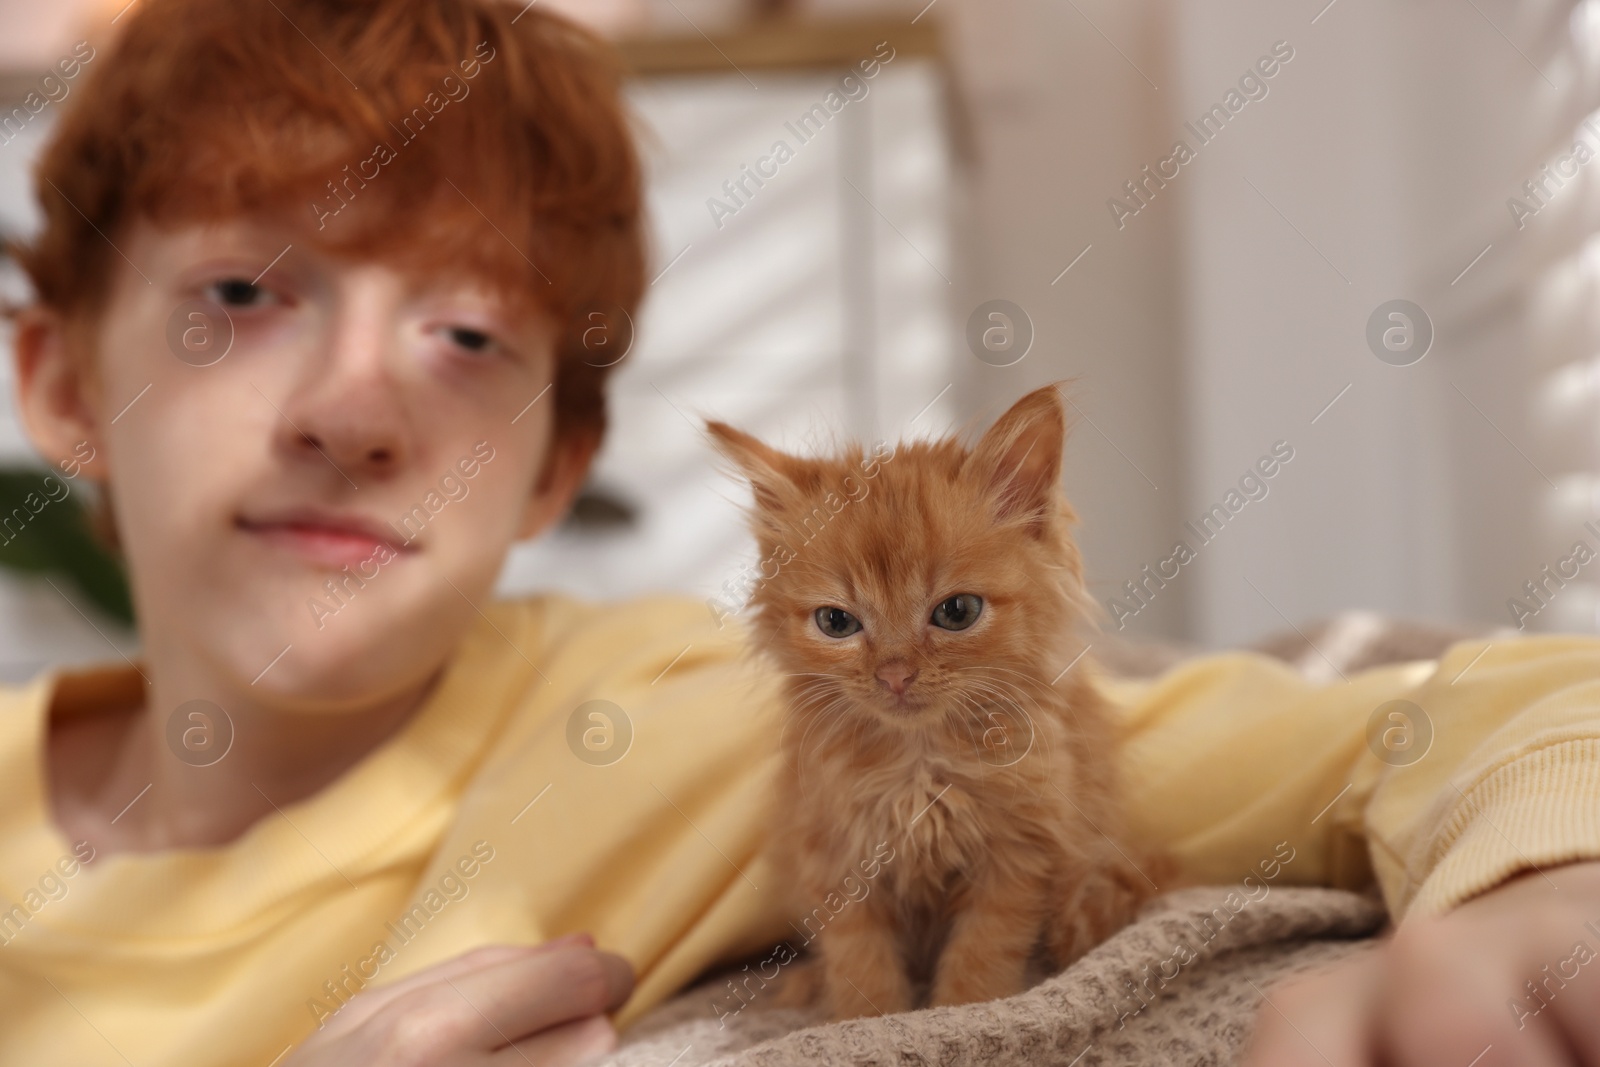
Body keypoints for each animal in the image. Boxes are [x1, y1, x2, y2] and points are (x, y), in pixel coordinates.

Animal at [707, 388, 1158, 1023]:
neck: (920, 762)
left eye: (957, 612)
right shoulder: (833, 853)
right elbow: (859, 960)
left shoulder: (1020, 854)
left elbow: (983, 951)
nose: (895, 674)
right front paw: (867, 1021)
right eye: (836, 622)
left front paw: (963, 1013)